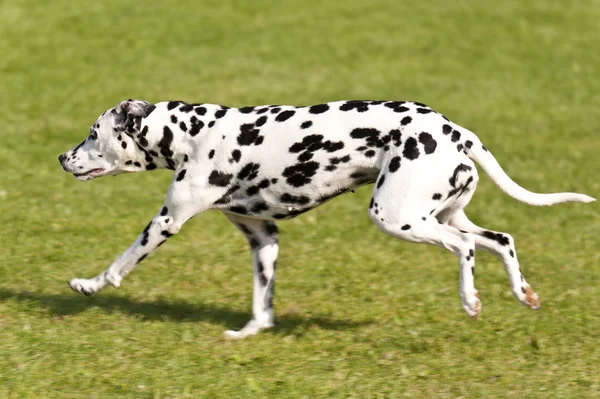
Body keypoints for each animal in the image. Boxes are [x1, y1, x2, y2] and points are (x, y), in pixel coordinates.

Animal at [58, 99, 592, 338]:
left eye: (93, 133)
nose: (63, 157)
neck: (193, 133)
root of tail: (455, 130)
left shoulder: (166, 222)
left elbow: (118, 265)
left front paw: (87, 284)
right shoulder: (263, 238)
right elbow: (262, 303)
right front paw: (249, 334)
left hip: (398, 218)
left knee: (464, 250)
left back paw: (471, 300)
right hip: (445, 214)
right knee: (501, 240)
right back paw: (523, 293)